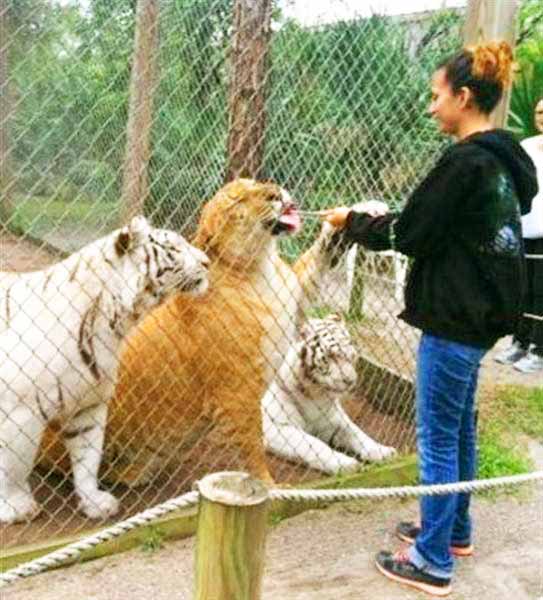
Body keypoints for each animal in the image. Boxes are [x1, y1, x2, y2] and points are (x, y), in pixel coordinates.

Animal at [0, 214, 209, 520]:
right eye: (174, 248)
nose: (207, 262)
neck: (110, 324)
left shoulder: (89, 403)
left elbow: (88, 457)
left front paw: (95, 503)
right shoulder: (19, 410)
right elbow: (14, 465)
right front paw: (17, 507)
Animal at [264, 314, 396, 474]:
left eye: (352, 354)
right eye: (331, 356)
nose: (350, 381)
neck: (315, 394)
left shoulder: (334, 418)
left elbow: (357, 432)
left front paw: (382, 451)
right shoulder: (274, 426)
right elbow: (313, 444)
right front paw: (345, 463)